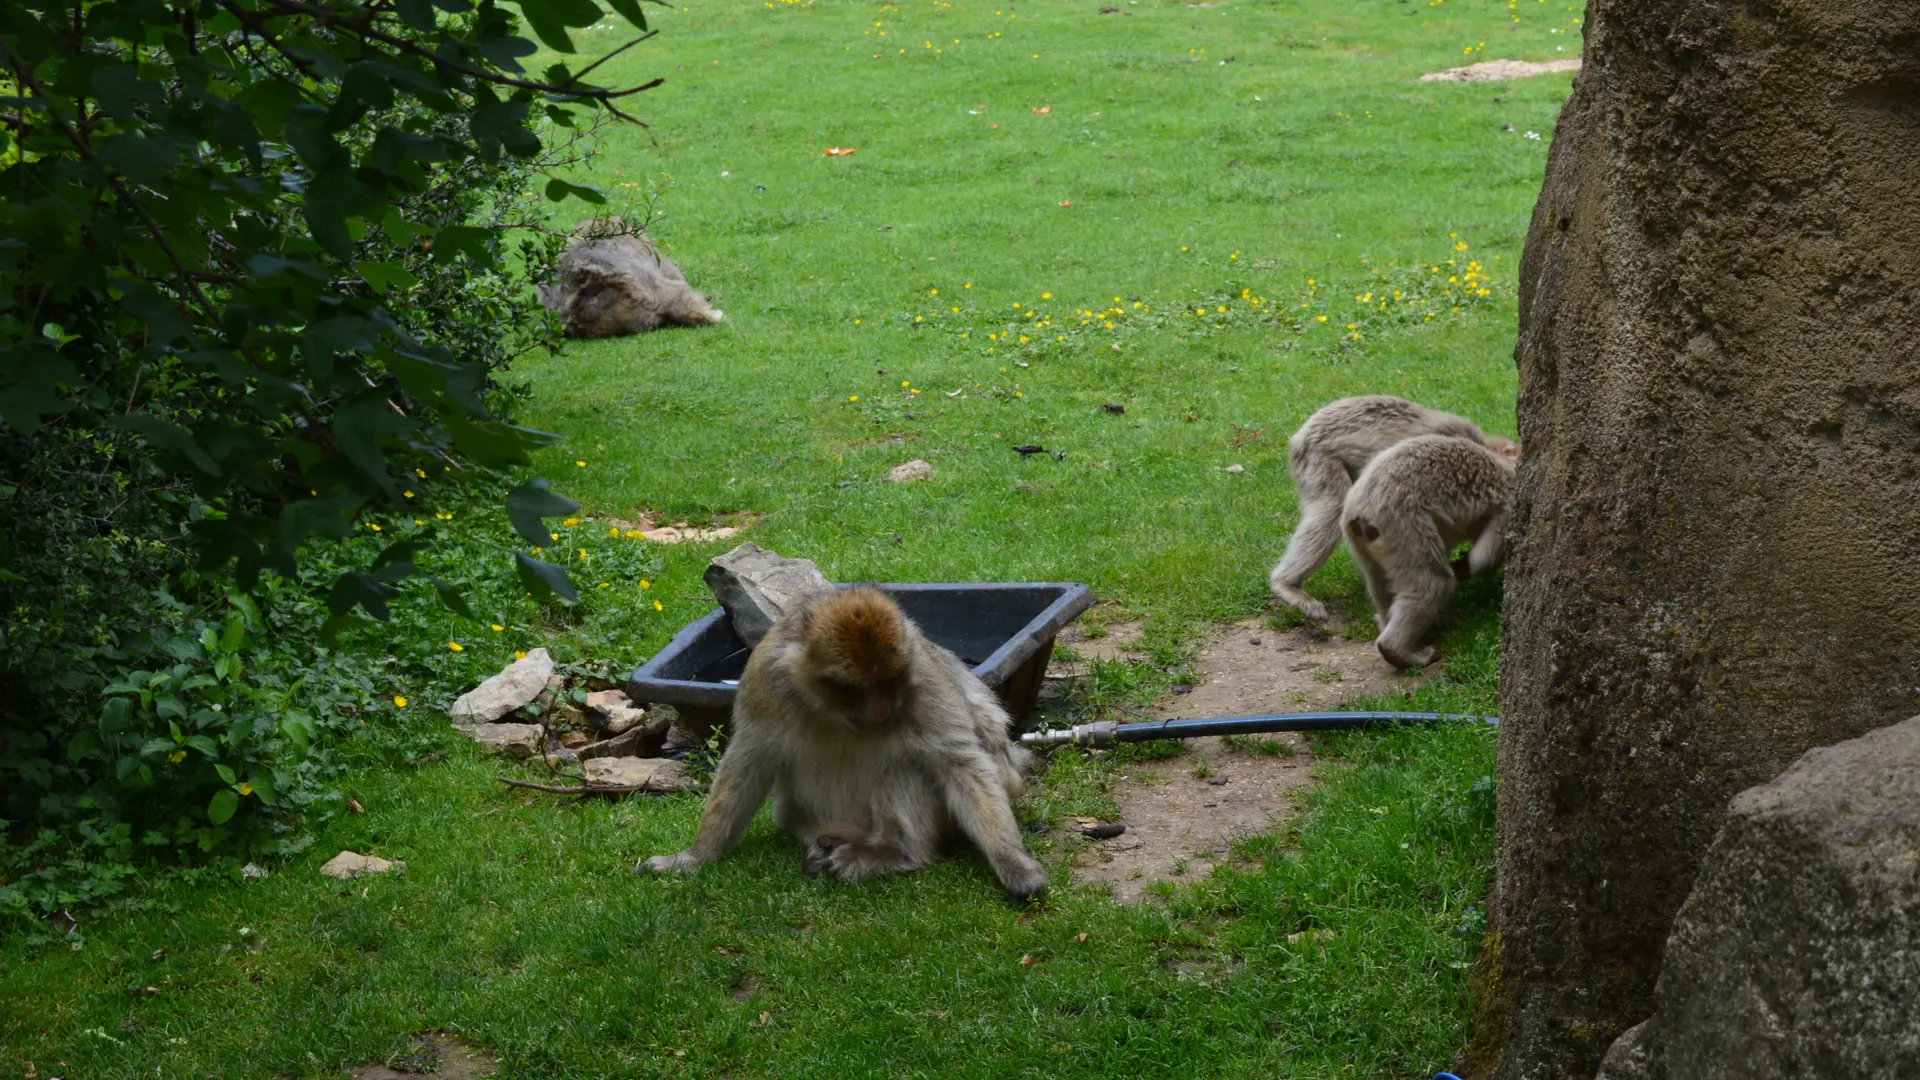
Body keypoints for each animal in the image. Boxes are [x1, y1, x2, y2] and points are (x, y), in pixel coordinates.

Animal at [637, 584, 1044, 895]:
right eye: (852, 688)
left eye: (890, 680)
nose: (881, 711)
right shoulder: (764, 681)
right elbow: (748, 763)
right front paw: (695, 856)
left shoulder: (923, 679)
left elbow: (961, 763)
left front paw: (1012, 861)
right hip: (806, 818)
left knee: (905, 767)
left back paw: (894, 852)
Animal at [1336, 430, 1512, 664]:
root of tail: (1360, 516)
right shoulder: (1509, 504)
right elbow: (1486, 553)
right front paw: (1467, 567)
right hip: (1402, 525)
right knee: (1433, 582)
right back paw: (1398, 651)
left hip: (1361, 539)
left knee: (1378, 580)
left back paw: (1387, 621)